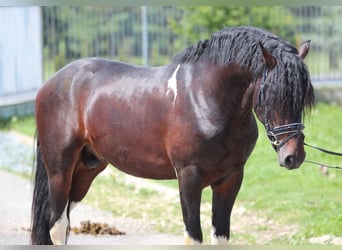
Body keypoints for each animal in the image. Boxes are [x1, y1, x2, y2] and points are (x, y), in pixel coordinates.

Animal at [30, 26, 314, 245]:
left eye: (301, 97)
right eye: (272, 94)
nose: (293, 156)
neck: (206, 98)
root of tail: (52, 81)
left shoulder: (230, 179)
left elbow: (220, 236)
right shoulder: (189, 176)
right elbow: (193, 237)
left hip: (86, 170)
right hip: (60, 170)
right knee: (57, 226)